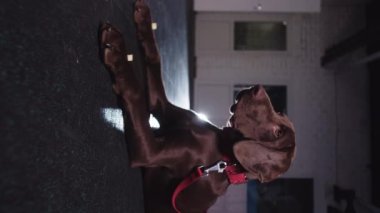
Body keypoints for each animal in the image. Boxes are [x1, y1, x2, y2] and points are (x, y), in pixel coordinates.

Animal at [98, 0, 294, 212]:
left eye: (277, 132)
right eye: (280, 112)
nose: (258, 88)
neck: (223, 154)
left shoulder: (149, 152)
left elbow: (135, 95)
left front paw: (117, 53)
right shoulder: (160, 105)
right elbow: (155, 58)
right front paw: (143, 19)